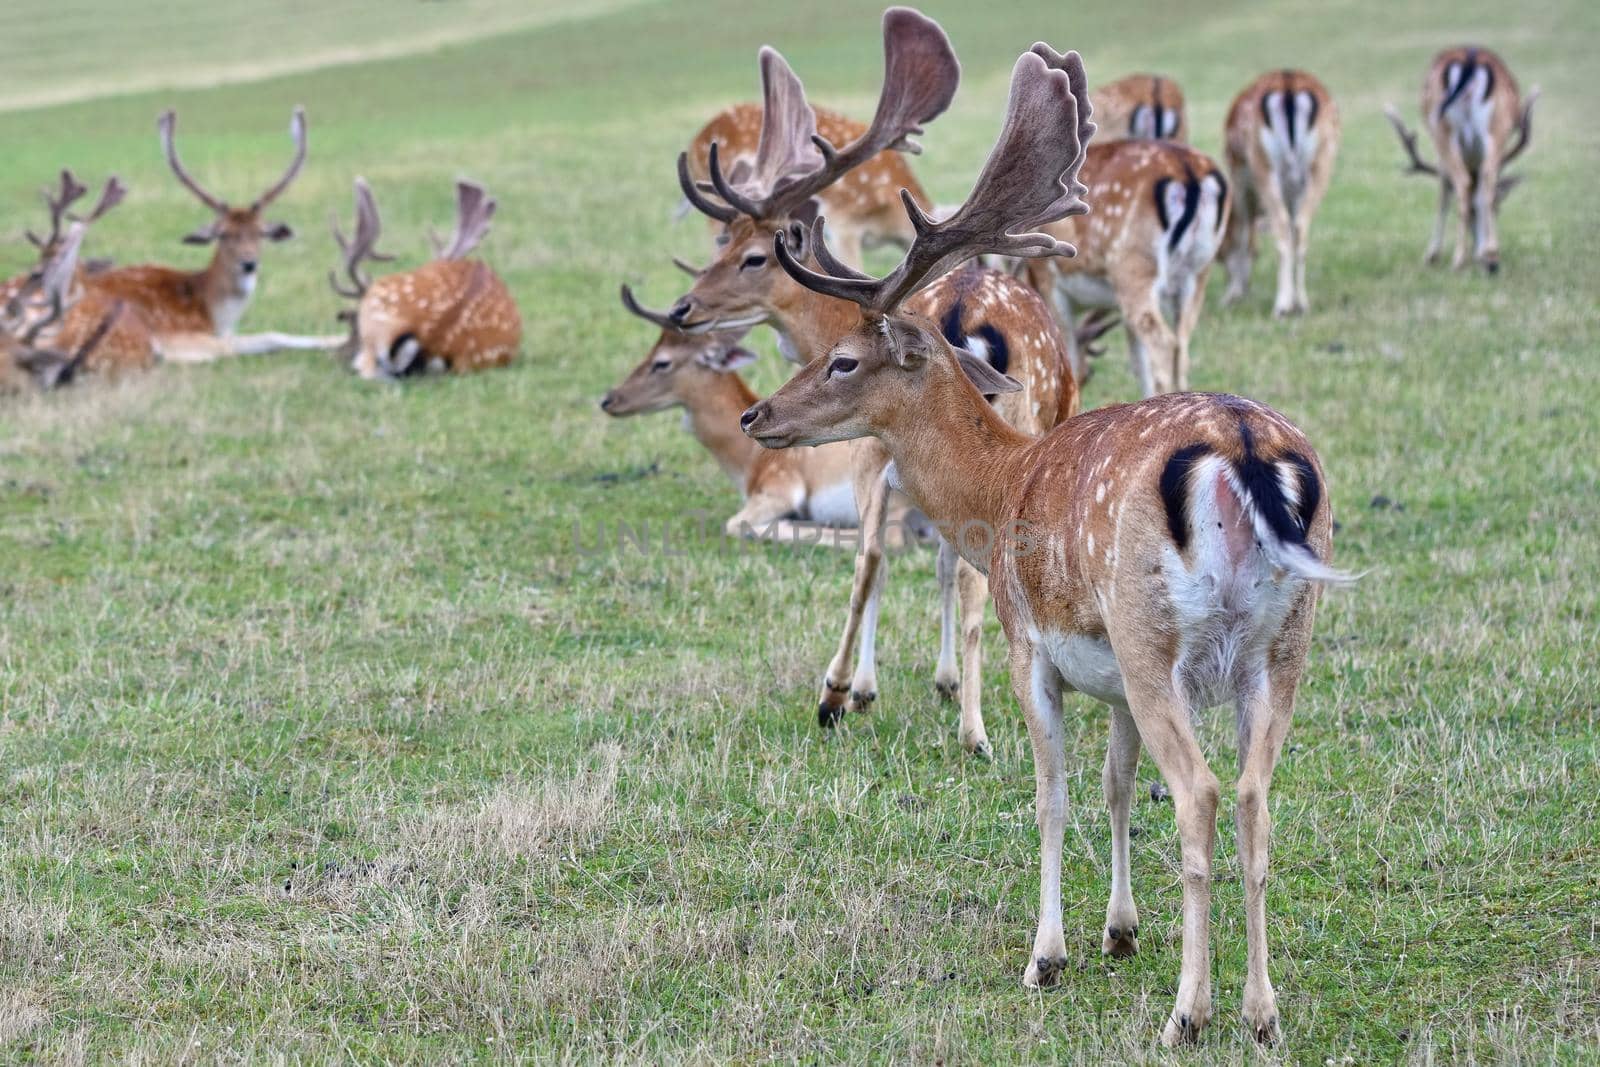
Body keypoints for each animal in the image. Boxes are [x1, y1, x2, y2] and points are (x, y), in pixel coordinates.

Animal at [633, 10, 1075, 758]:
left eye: (753, 256)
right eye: (724, 244)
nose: (684, 308)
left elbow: (898, 558)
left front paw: (876, 688)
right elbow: (932, 560)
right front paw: (932, 682)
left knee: (893, 558)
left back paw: (895, 706)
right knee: (929, 563)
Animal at [1017, 137, 1228, 395]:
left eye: (1090, 375)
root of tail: (1185, 168)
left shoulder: (1049, 280)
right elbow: (1139, 363)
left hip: (1134, 268)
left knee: (1164, 343)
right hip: (1197, 274)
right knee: (1181, 345)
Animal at [1216, 68, 1344, 313]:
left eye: (1219, 250)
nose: (1228, 283)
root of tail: (1289, 85)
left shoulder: (1238, 174)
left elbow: (1243, 231)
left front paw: (1233, 294)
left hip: (1263, 164)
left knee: (1282, 225)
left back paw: (1282, 305)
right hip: (1322, 163)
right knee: (1301, 225)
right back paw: (1301, 302)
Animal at [1388, 46, 1536, 273]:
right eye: (1498, 209)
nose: (1489, 264)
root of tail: (1469, 58)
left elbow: (1444, 193)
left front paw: (1431, 255)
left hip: (1443, 130)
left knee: (1463, 182)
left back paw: (1460, 259)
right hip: (1496, 128)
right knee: (1486, 181)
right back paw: (1489, 252)